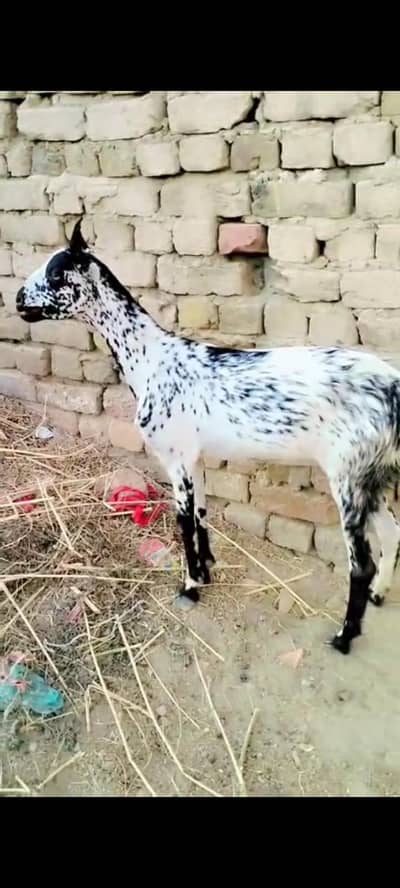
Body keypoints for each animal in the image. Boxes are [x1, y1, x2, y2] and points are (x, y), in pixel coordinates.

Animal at [16, 218, 400, 655]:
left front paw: (189, 586)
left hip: (348, 475)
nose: (18, 300)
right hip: (375, 474)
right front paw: (206, 569)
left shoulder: (174, 456)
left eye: (56, 274)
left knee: (360, 563)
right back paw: (379, 595)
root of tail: (394, 389)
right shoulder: (193, 456)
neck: (151, 361)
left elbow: (183, 521)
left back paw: (344, 636)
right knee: (391, 533)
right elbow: (201, 513)